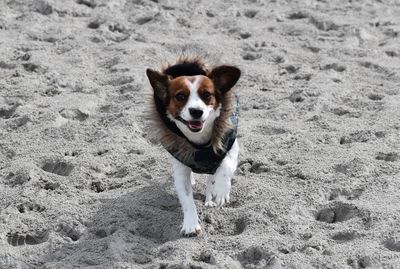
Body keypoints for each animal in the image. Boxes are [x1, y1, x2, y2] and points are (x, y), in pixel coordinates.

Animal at [146, 56, 241, 234]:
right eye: (180, 96)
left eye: (207, 95)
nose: (196, 111)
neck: (200, 142)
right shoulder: (180, 165)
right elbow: (186, 198)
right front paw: (191, 224)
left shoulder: (229, 145)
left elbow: (225, 167)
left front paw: (221, 190)